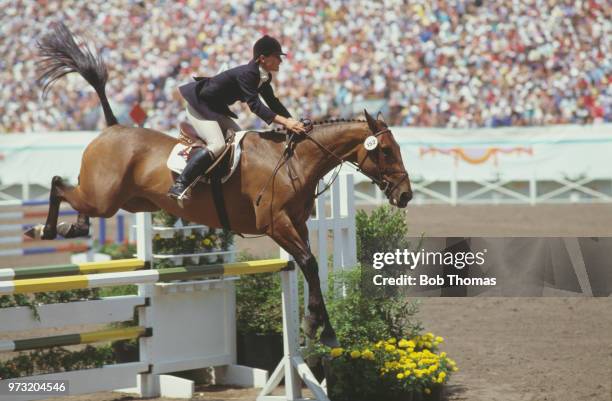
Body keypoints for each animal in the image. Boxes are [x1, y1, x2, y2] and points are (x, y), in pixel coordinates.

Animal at [28, 23, 412, 346]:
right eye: (386, 151)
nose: (406, 195)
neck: (295, 161)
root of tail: (111, 127)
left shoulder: (298, 224)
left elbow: (311, 267)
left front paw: (325, 329)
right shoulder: (276, 224)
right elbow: (310, 263)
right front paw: (314, 325)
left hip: (128, 201)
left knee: (79, 201)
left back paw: (71, 227)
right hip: (104, 198)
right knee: (59, 185)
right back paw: (43, 230)